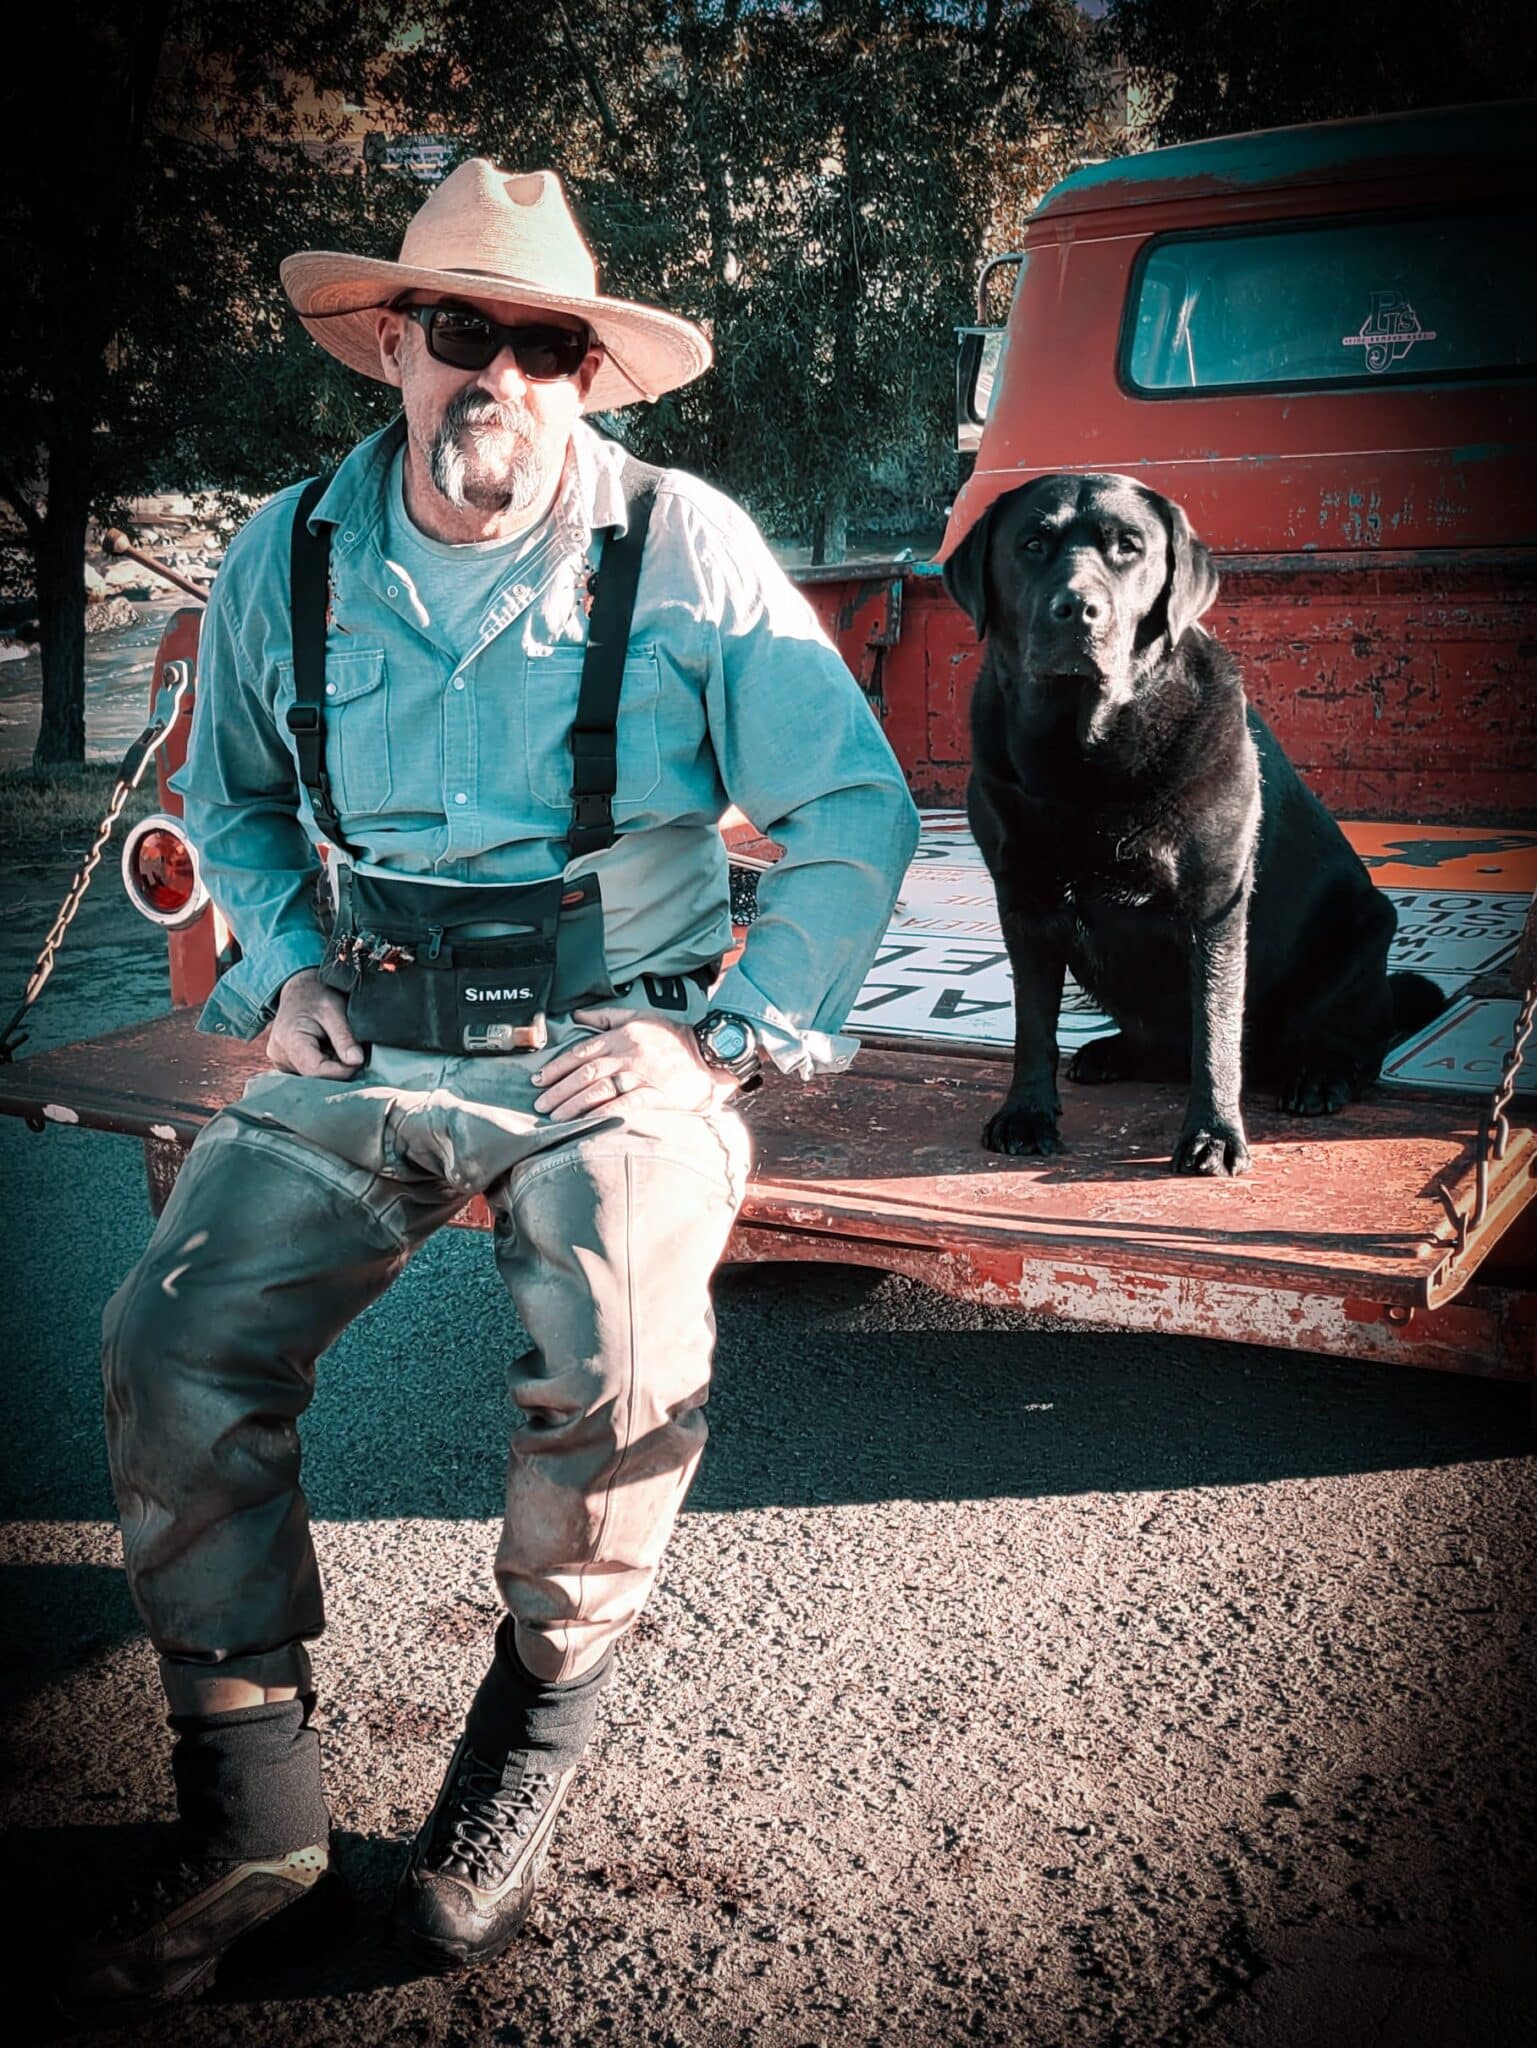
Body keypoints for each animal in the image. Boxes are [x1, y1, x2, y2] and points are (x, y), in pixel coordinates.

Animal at [946, 471, 1450, 1179]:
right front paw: (1026, 1113)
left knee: (1360, 1042)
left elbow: (1215, 1030)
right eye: (1033, 544)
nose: (1078, 609)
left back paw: (1321, 1075)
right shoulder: (1024, 903)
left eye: (1129, 547)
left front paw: (1214, 1134)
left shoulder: (1214, 906)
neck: (1086, 760)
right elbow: (1032, 1025)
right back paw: (1113, 1052)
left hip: (1360, 936)